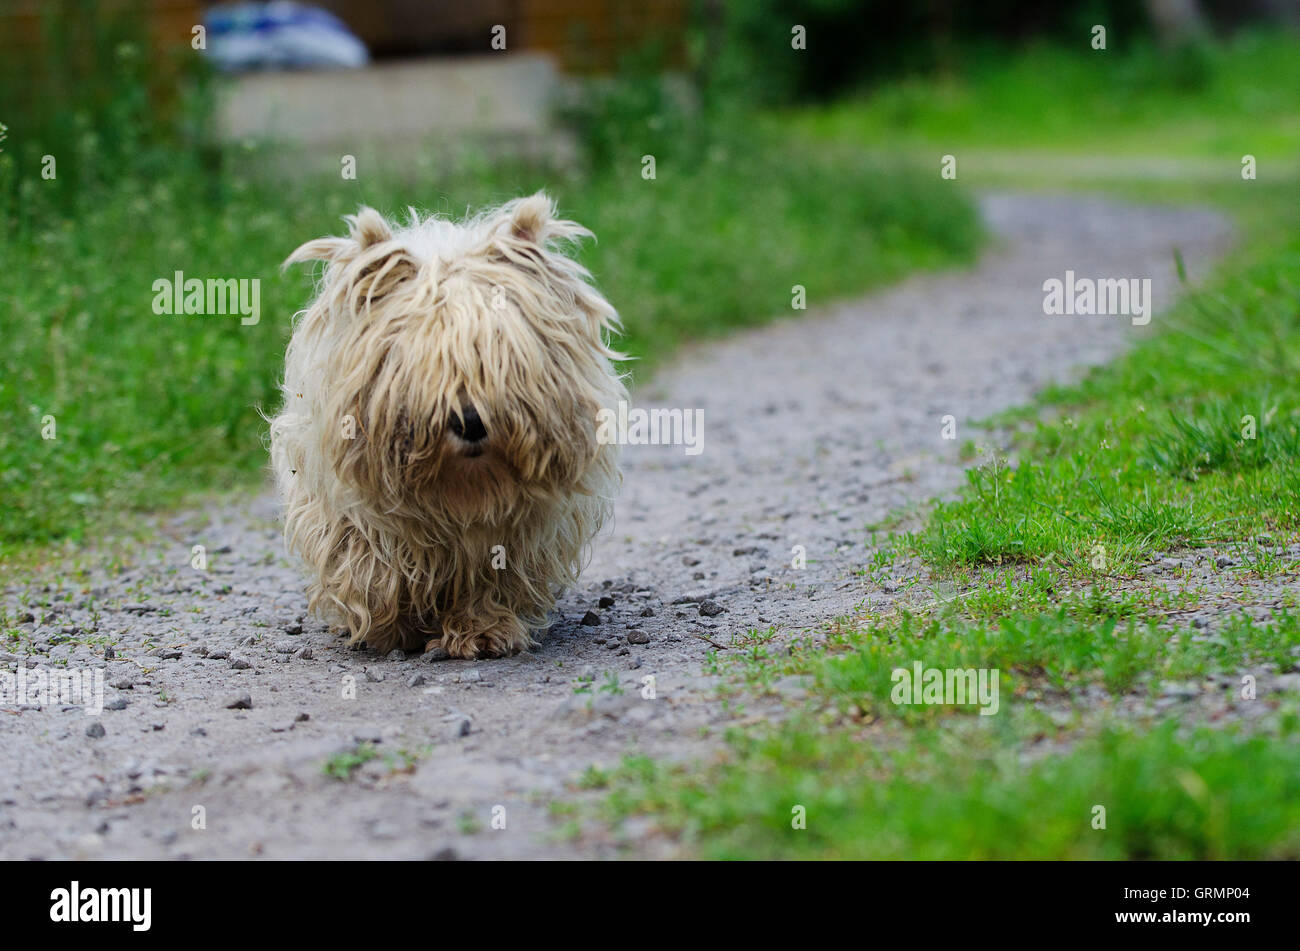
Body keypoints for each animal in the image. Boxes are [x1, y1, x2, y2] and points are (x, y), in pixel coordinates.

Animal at [267, 193, 624, 654]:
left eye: (497, 357)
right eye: (421, 362)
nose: (470, 422)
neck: (461, 484)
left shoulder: (519, 526)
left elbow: (492, 573)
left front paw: (482, 627)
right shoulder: (344, 500)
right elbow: (369, 561)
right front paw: (389, 626)